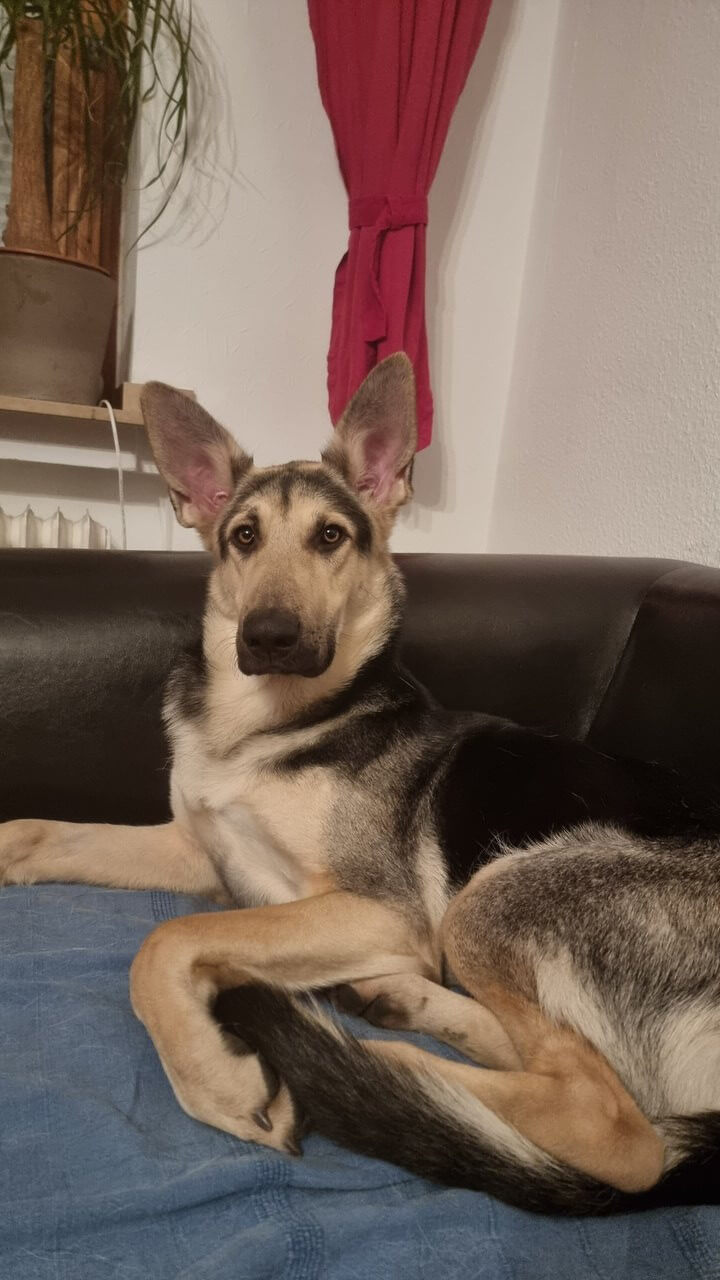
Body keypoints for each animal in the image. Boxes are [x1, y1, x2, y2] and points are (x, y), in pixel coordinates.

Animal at [2, 353, 720, 1216]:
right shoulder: (200, 850)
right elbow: (33, 832)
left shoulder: (377, 909)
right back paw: (396, 1004)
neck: (263, 723)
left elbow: (167, 940)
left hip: (493, 897)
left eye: (331, 537)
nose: (268, 638)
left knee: (614, 1124)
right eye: (243, 537)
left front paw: (217, 1080)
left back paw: (371, 1063)